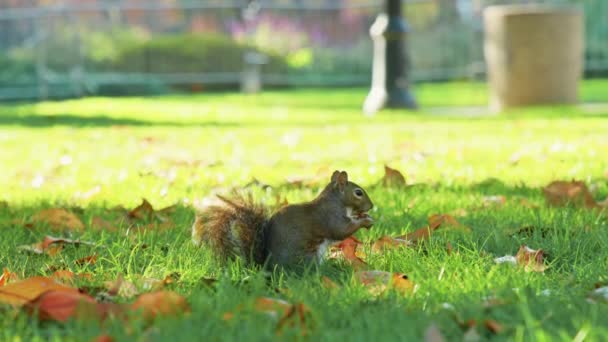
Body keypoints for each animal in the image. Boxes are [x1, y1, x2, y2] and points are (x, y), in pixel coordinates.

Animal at [192, 170, 376, 268]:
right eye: (358, 193)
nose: (371, 206)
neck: (336, 201)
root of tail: (266, 267)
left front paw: (364, 217)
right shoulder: (330, 217)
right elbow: (341, 230)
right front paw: (365, 221)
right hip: (308, 256)